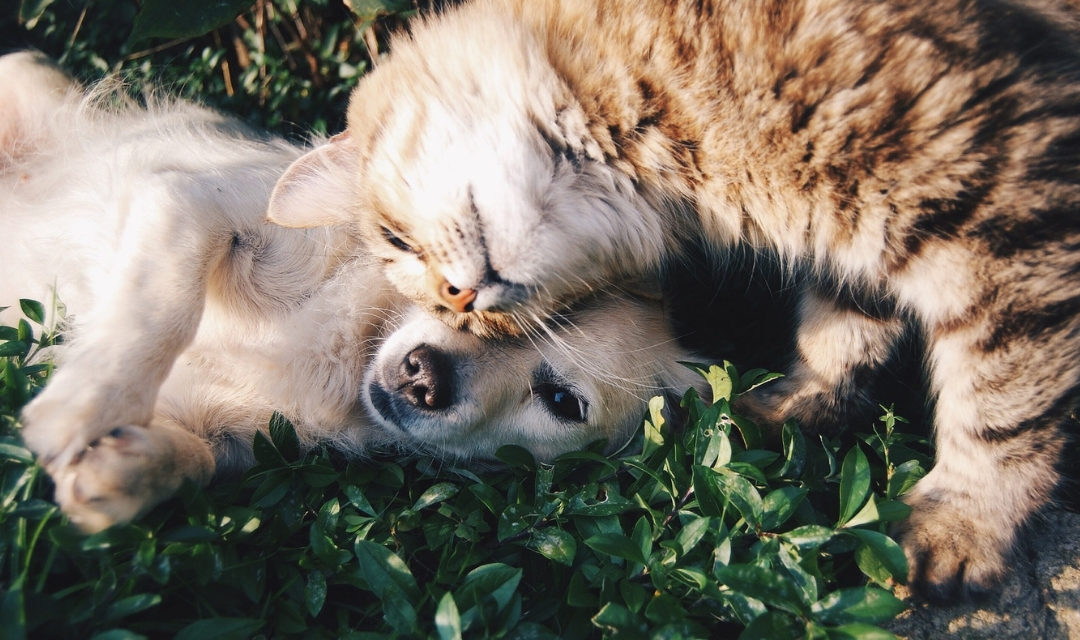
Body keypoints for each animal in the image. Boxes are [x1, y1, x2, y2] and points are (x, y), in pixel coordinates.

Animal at [0, 53, 704, 533]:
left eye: (561, 401)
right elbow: (160, 308)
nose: (424, 377)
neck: (350, 349)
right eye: (460, 292)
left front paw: (122, 471)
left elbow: (195, 461)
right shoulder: (190, 203)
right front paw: (82, 406)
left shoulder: (232, 435)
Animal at [267, 0, 1080, 600]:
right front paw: (794, 407)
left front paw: (963, 525)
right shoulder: (861, 242)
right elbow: (840, 335)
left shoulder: (1004, 212)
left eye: (395, 240)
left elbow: (1002, 406)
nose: (461, 299)